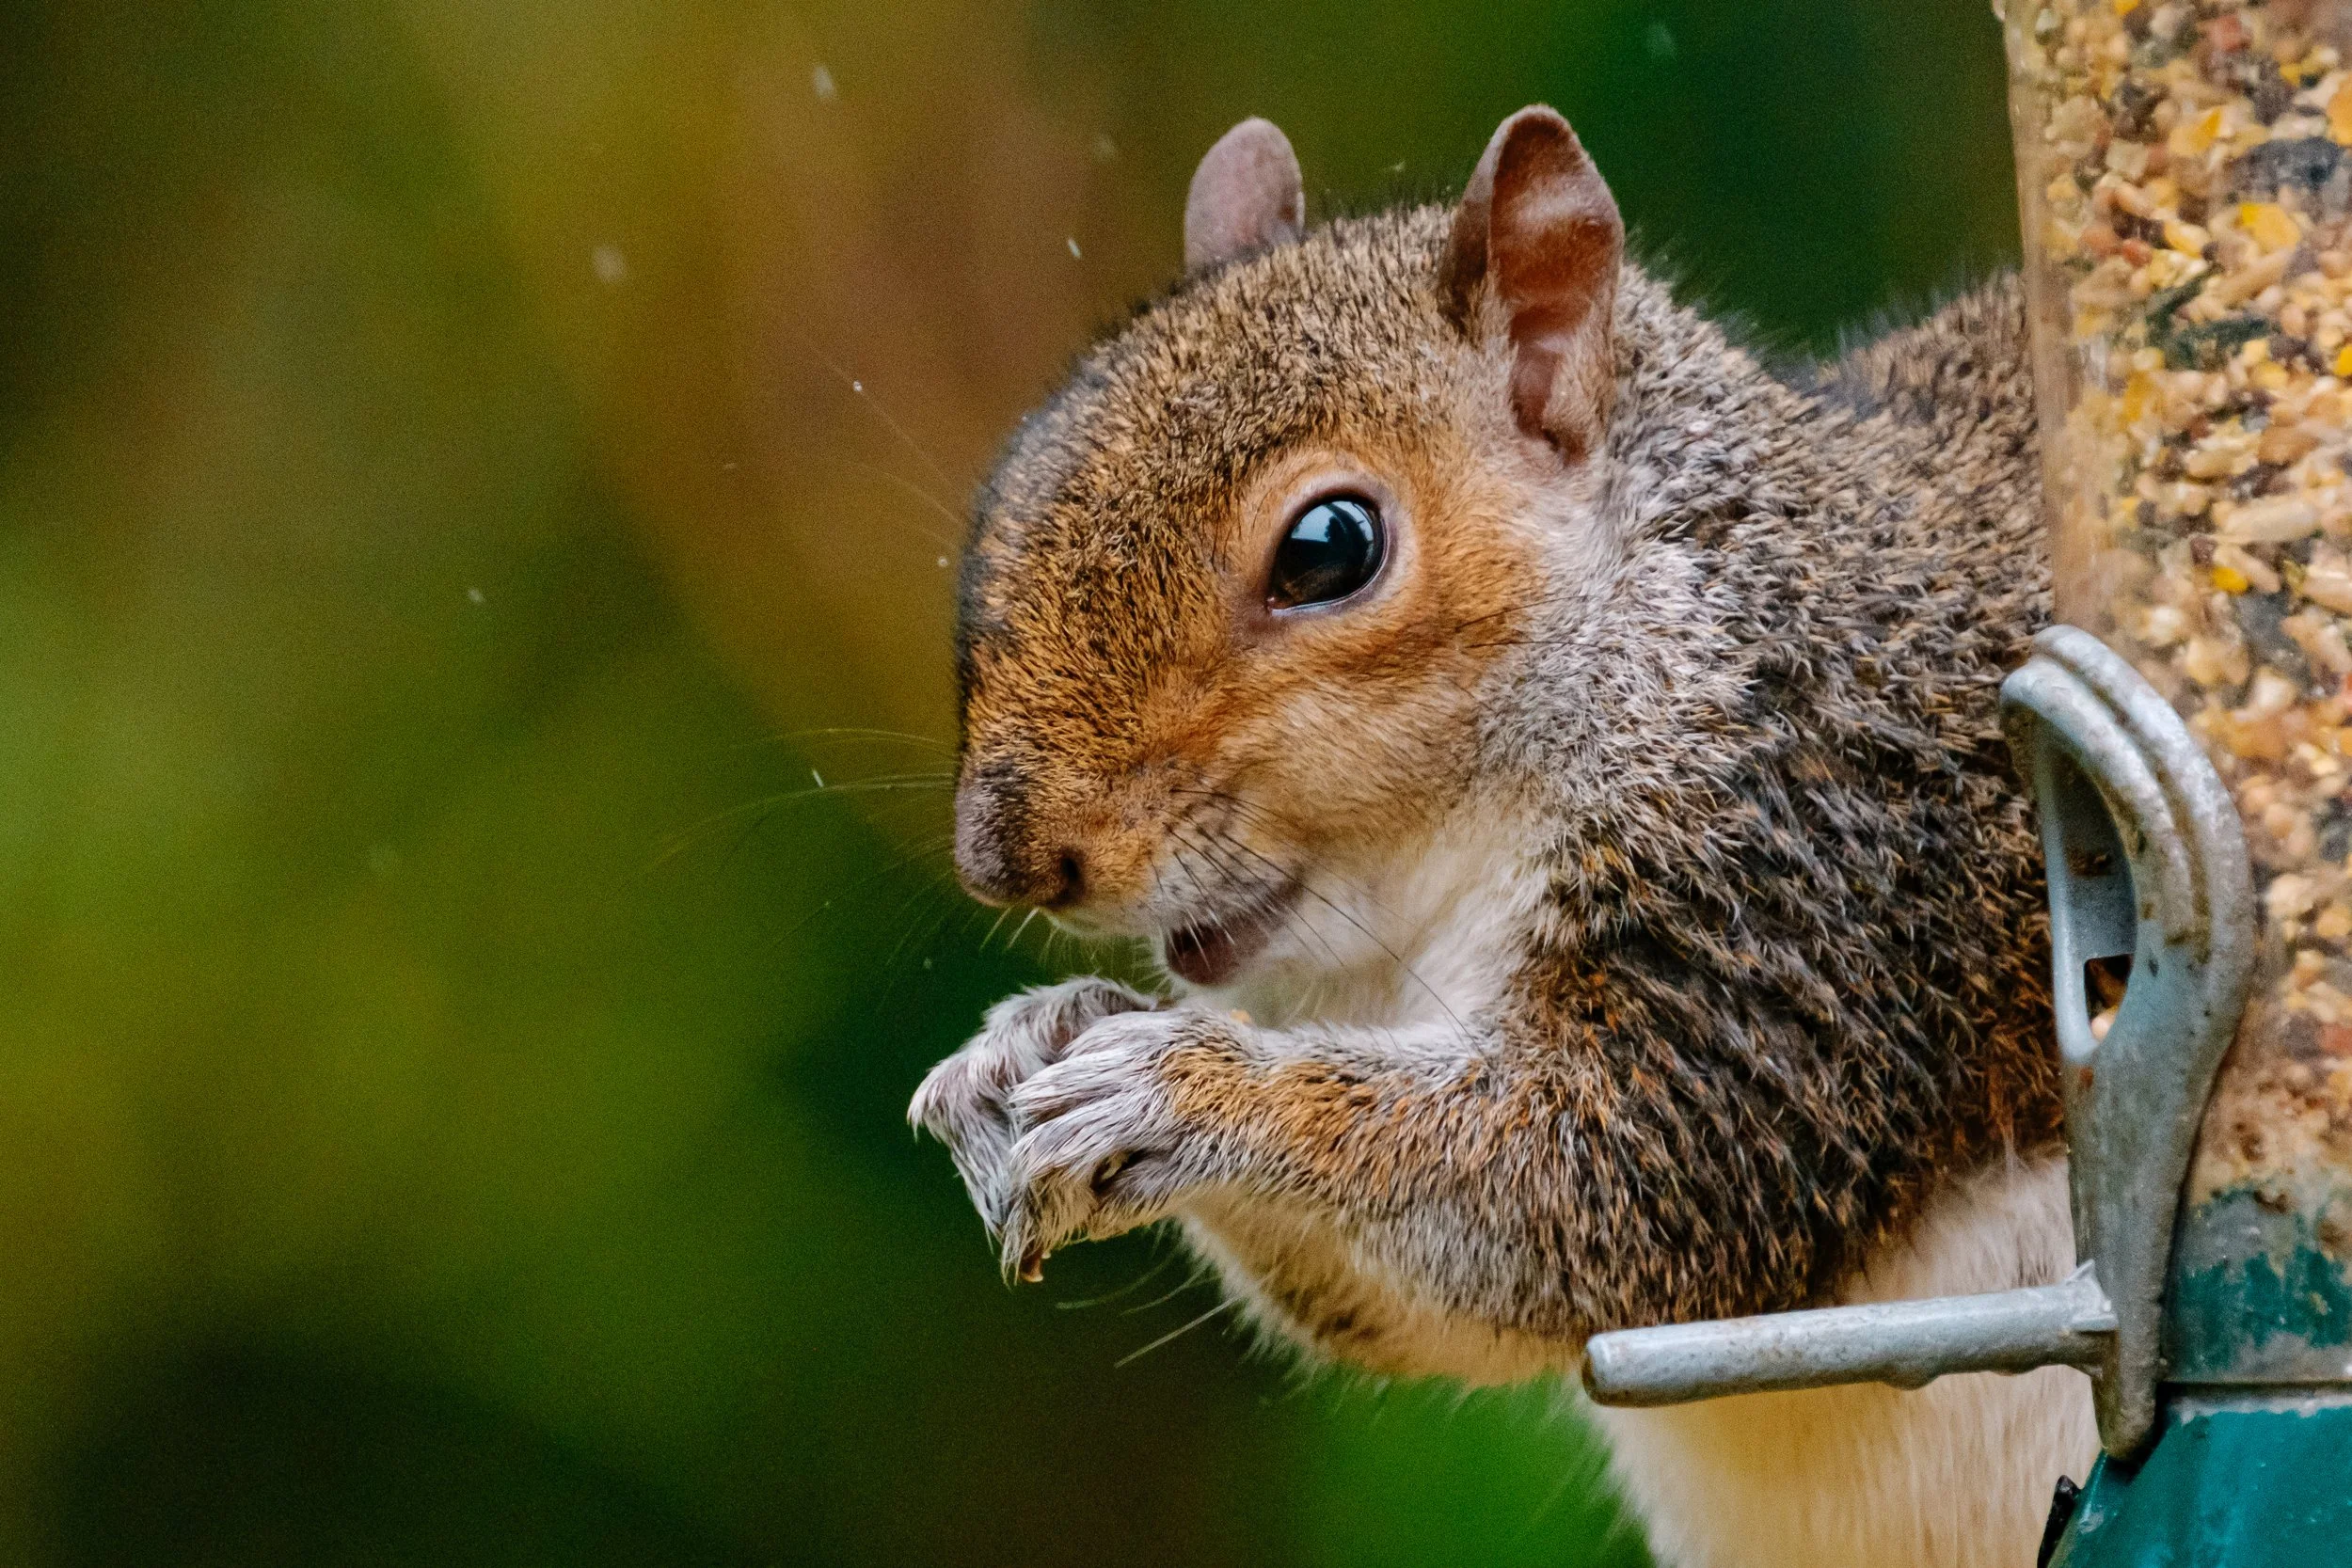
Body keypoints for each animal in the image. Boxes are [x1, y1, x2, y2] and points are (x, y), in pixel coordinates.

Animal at [910, 106, 2097, 1568]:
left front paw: (1186, 1086)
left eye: (1329, 546)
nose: (1008, 856)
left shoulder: (1821, 878)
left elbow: (1607, 1178)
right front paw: (1024, 1042)